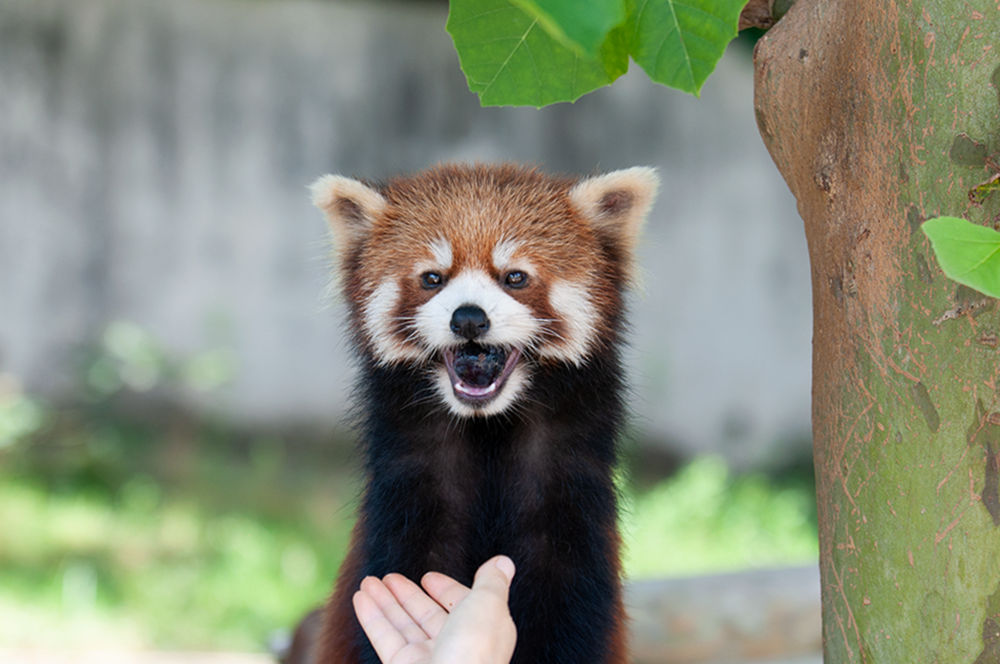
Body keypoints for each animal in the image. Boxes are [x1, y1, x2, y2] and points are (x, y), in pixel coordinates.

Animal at [308, 163, 660, 664]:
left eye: (514, 276)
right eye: (432, 277)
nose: (469, 318)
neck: (488, 430)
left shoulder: (571, 505)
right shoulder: (406, 503)